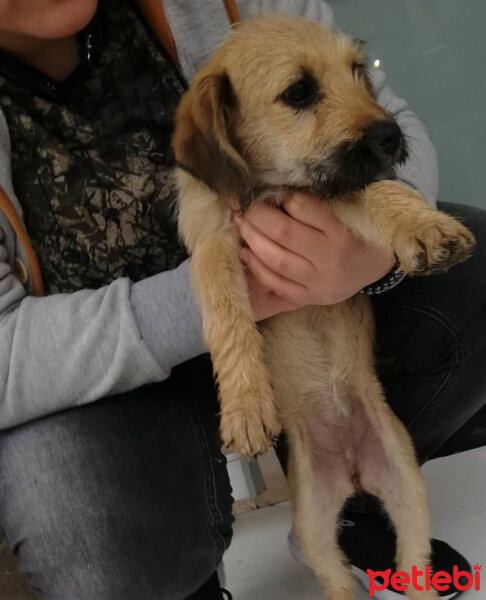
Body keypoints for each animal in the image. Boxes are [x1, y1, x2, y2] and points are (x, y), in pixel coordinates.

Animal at [172, 14, 474, 600]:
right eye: (299, 92)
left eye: (358, 71)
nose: (391, 136)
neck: (270, 186)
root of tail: (354, 473)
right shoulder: (211, 242)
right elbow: (224, 311)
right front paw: (245, 407)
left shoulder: (337, 191)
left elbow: (376, 192)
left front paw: (425, 226)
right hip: (312, 524)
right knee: (332, 572)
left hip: (407, 490)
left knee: (412, 558)